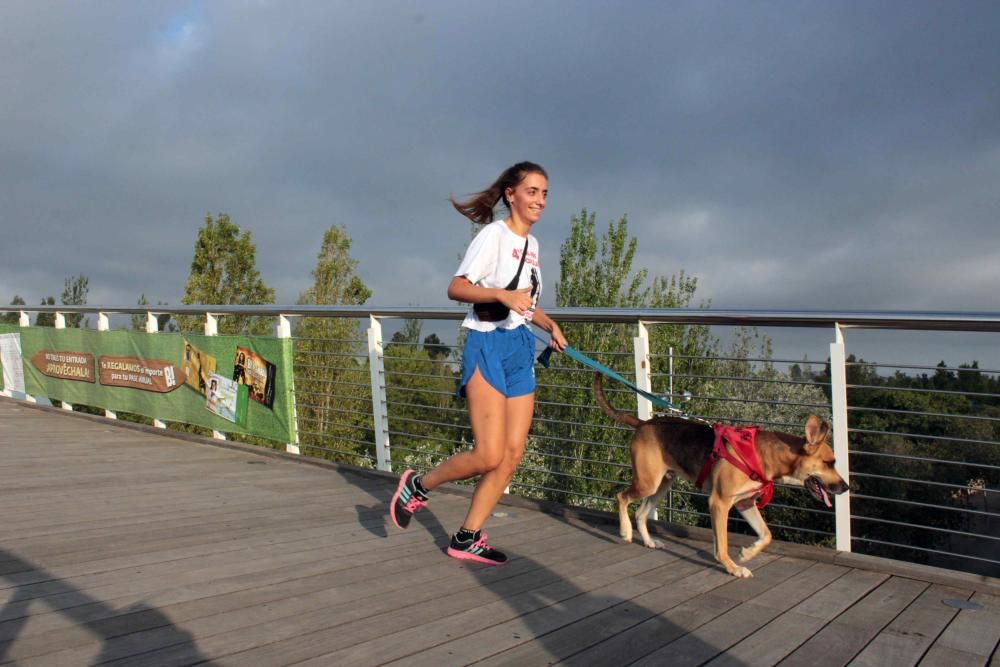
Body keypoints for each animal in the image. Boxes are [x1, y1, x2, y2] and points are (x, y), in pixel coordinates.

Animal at [596, 376, 848, 580]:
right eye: (830, 463)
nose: (845, 487)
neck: (766, 455)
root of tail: (644, 423)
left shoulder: (745, 503)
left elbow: (766, 534)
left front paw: (747, 554)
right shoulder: (719, 503)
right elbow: (723, 546)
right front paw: (734, 568)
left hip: (662, 485)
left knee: (640, 513)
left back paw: (648, 541)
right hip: (647, 483)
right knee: (621, 497)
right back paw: (625, 532)